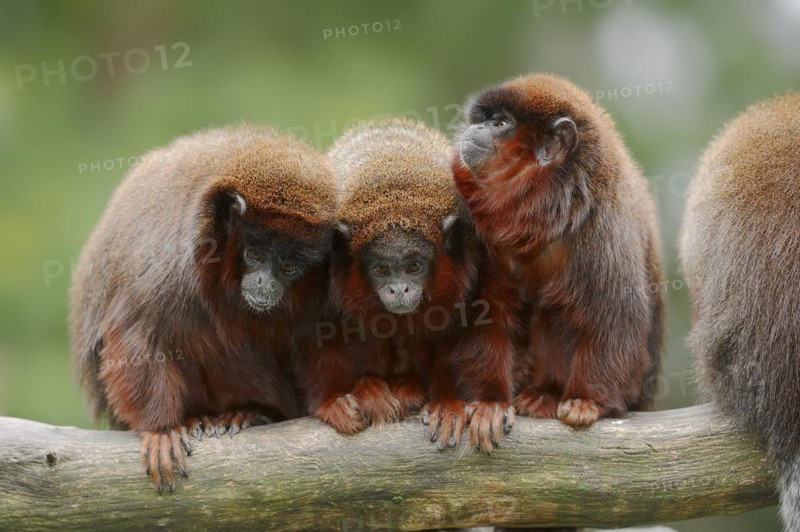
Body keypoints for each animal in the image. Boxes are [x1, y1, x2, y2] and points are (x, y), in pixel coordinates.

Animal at [69, 125, 337, 492]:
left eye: (288, 267)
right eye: (255, 254)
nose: (264, 283)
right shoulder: (171, 265)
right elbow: (136, 333)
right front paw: (161, 429)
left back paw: (247, 412)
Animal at [301, 118, 519, 452]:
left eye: (414, 266)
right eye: (382, 269)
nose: (399, 289)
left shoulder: (478, 247)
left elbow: (487, 317)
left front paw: (486, 403)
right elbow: (319, 329)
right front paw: (332, 400)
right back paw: (371, 387)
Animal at [452, 73, 664, 428]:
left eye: (501, 123)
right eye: (483, 119)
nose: (475, 129)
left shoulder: (604, 227)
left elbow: (617, 316)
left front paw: (588, 400)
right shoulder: (480, 238)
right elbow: (487, 311)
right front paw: (491, 402)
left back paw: (549, 393)